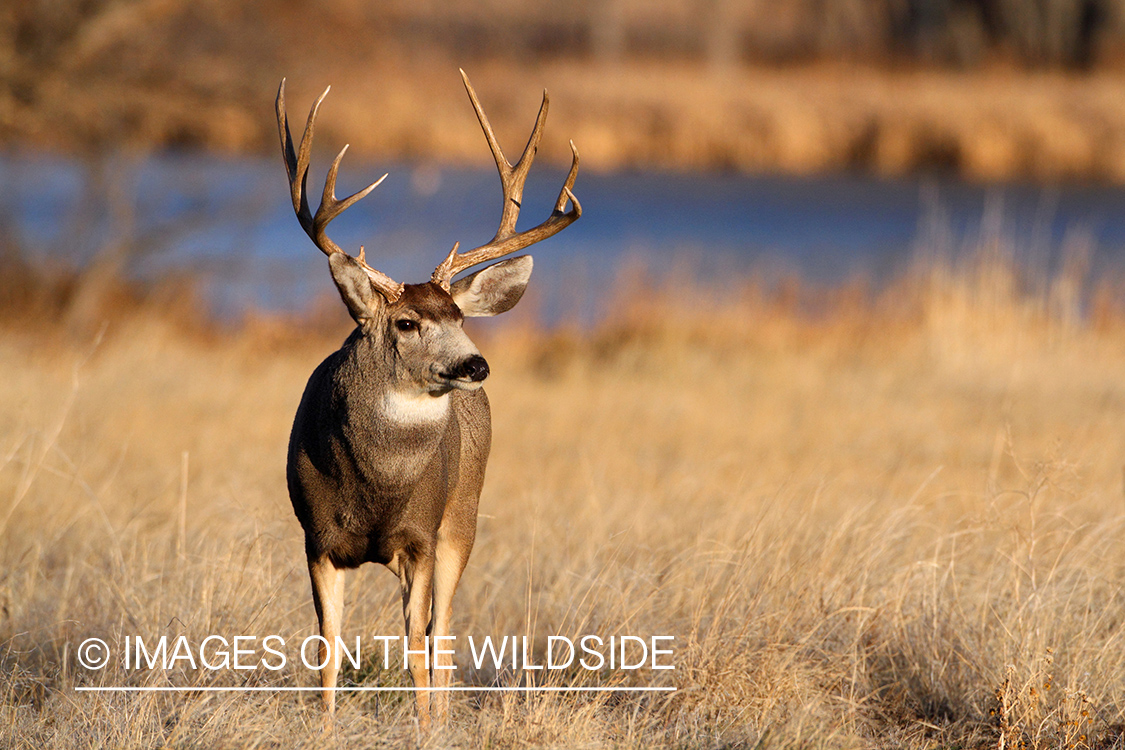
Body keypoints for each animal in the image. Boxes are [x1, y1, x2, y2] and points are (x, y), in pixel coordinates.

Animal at [277, 71, 585, 733]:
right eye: (408, 322)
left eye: (460, 317)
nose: (475, 364)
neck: (375, 487)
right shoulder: (316, 537)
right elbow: (328, 647)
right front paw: (325, 727)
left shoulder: (421, 535)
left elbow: (417, 644)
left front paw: (425, 726)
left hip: (463, 516)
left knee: (440, 631)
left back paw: (441, 714)